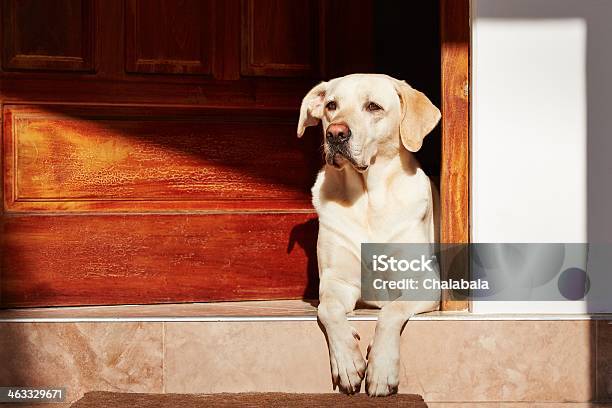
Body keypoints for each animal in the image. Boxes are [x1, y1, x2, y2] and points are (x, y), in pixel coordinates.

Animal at [296, 73, 440, 396]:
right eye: (331, 106)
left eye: (373, 106)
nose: (335, 134)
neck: (367, 198)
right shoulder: (336, 282)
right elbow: (327, 310)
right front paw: (348, 362)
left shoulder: (424, 282)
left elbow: (391, 312)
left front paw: (382, 368)